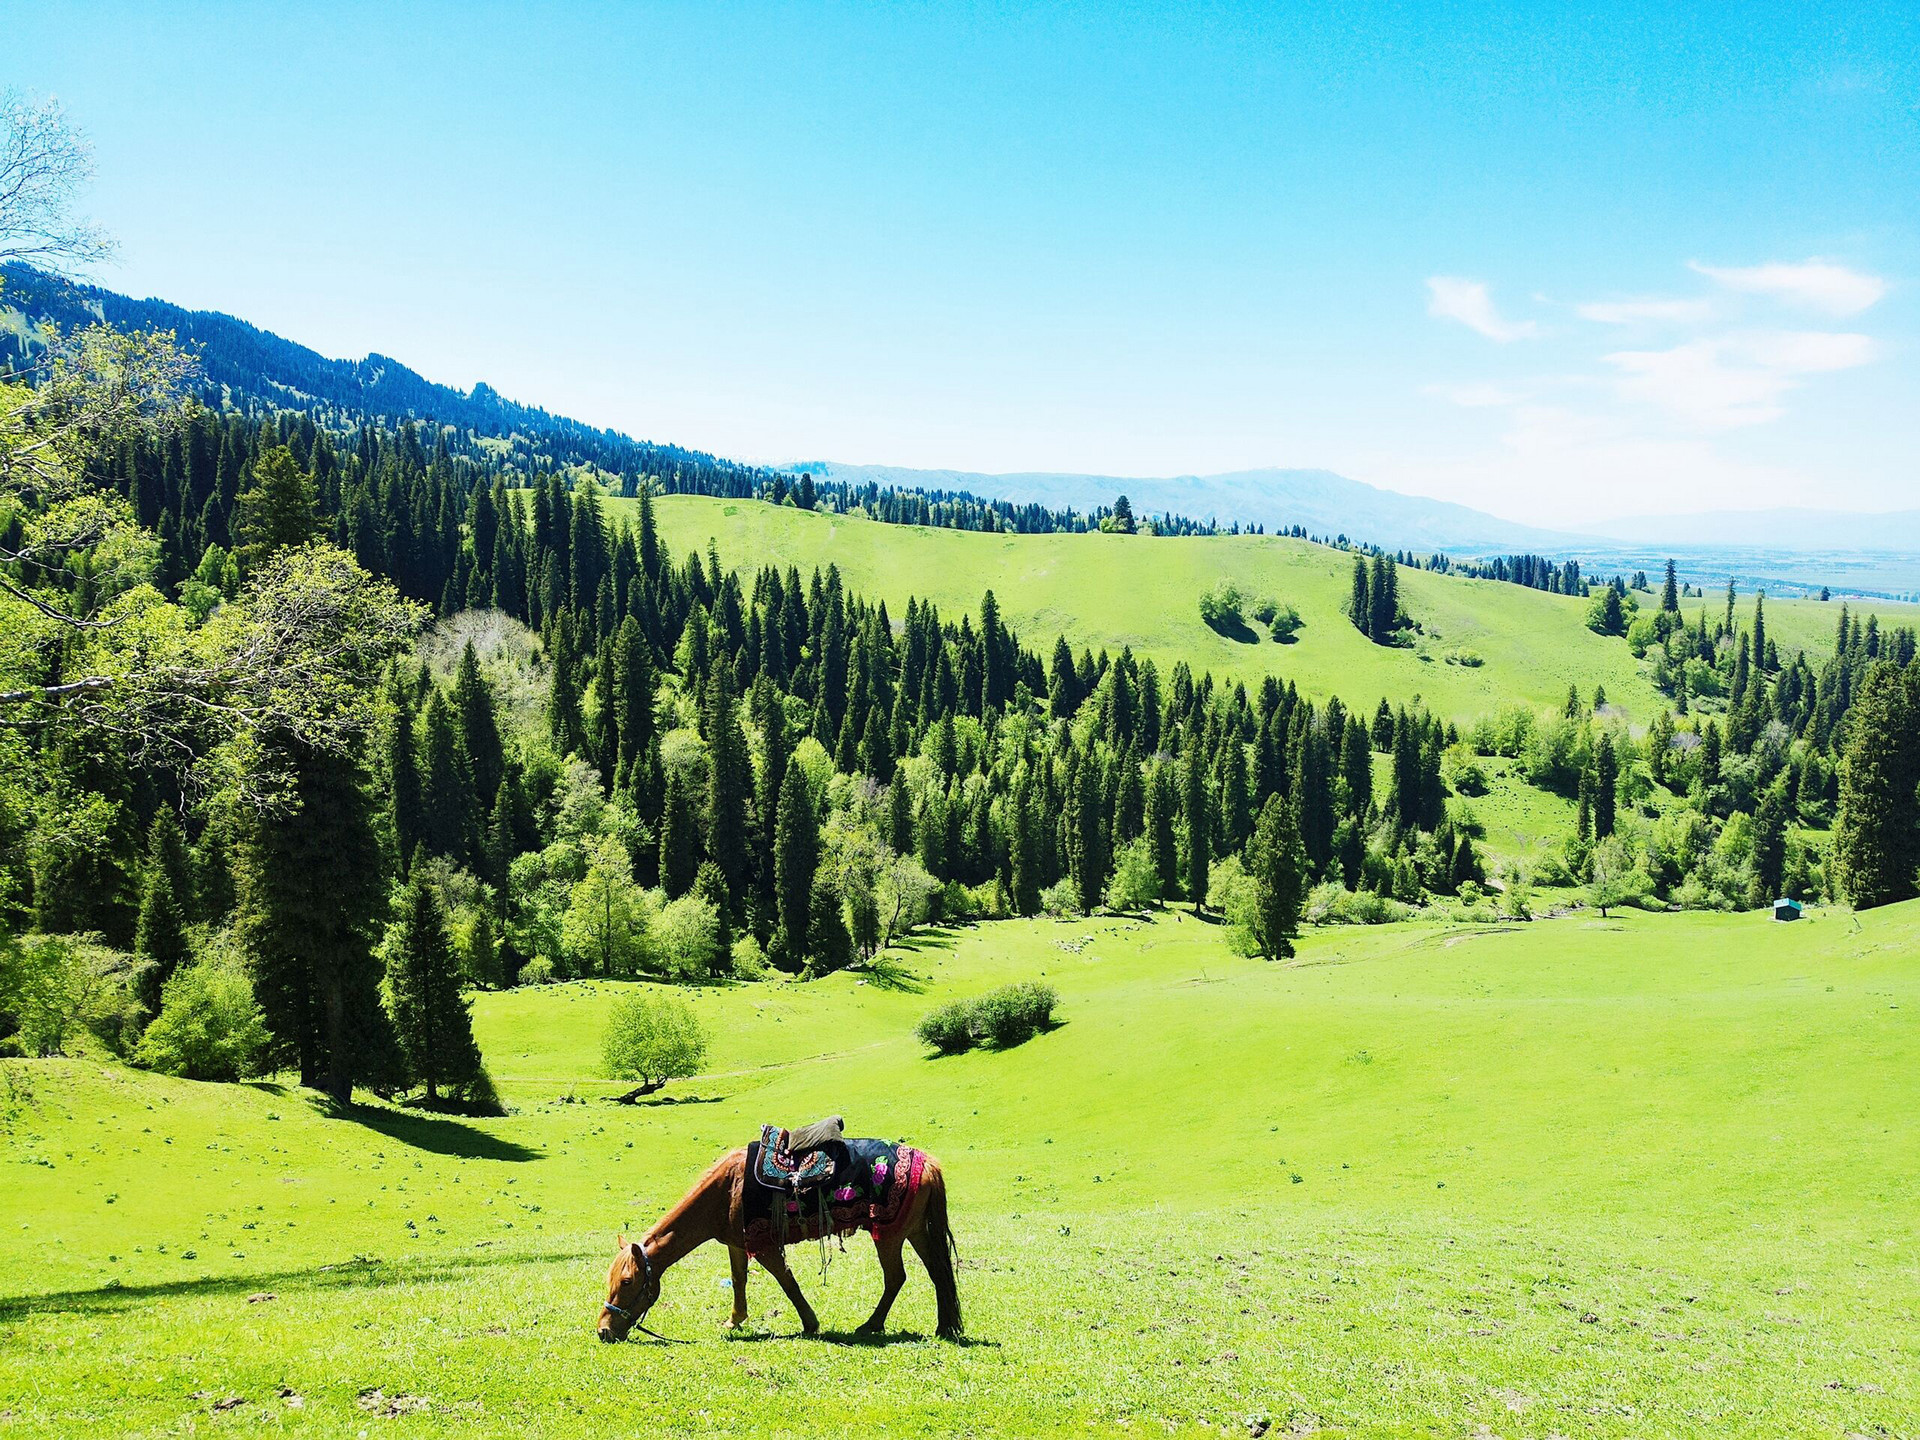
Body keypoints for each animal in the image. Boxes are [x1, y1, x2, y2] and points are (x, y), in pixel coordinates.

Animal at [595, 1152, 960, 1344]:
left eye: (627, 1282)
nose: (603, 1330)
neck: (725, 1191)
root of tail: (927, 1164)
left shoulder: (765, 1246)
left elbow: (787, 1282)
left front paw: (810, 1323)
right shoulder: (737, 1244)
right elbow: (739, 1281)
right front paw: (734, 1321)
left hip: (890, 1235)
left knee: (896, 1278)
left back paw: (870, 1325)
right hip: (916, 1232)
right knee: (938, 1273)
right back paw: (944, 1327)